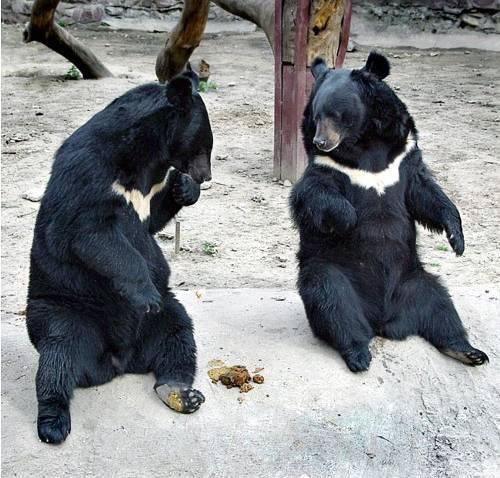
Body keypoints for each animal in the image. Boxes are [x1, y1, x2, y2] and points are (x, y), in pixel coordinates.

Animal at [26, 70, 212, 444]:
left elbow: (152, 221)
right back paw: (53, 424)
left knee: (178, 337)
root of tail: (119, 361)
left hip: (166, 319)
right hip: (62, 309)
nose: (206, 176)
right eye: (204, 146)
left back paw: (180, 392)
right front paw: (146, 295)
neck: (143, 159)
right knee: (58, 357)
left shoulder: (146, 191)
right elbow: (90, 233)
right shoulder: (91, 173)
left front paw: (184, 187)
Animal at [290, 52, 489, 373]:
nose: (321, 141)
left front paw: (457, 241)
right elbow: (313, 194)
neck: (363, 143)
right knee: (333, 304)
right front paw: (349, 219)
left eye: (337, 115)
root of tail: (384, 321)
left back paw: (468, 351)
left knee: (441, 307)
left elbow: (426, 194)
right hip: (334, 273)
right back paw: (358, 354)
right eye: (317, 116)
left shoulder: (403, 156)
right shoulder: (327, 166)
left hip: (415, 281)